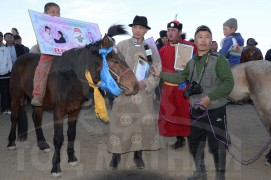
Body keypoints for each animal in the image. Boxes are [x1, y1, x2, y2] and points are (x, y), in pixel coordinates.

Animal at [7, 24, 139, 177]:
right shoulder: (58, 112)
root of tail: (19, 59)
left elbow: (71, 134)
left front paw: (71, 158)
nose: (135, 86)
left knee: (36, 118)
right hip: (15, 96)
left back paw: (42, 144)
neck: (71, 77)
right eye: (114, 60)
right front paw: (55, 166)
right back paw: (11, 142)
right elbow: (58, 138)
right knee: (15, 116)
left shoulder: (74, 110)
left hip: (38, 103)